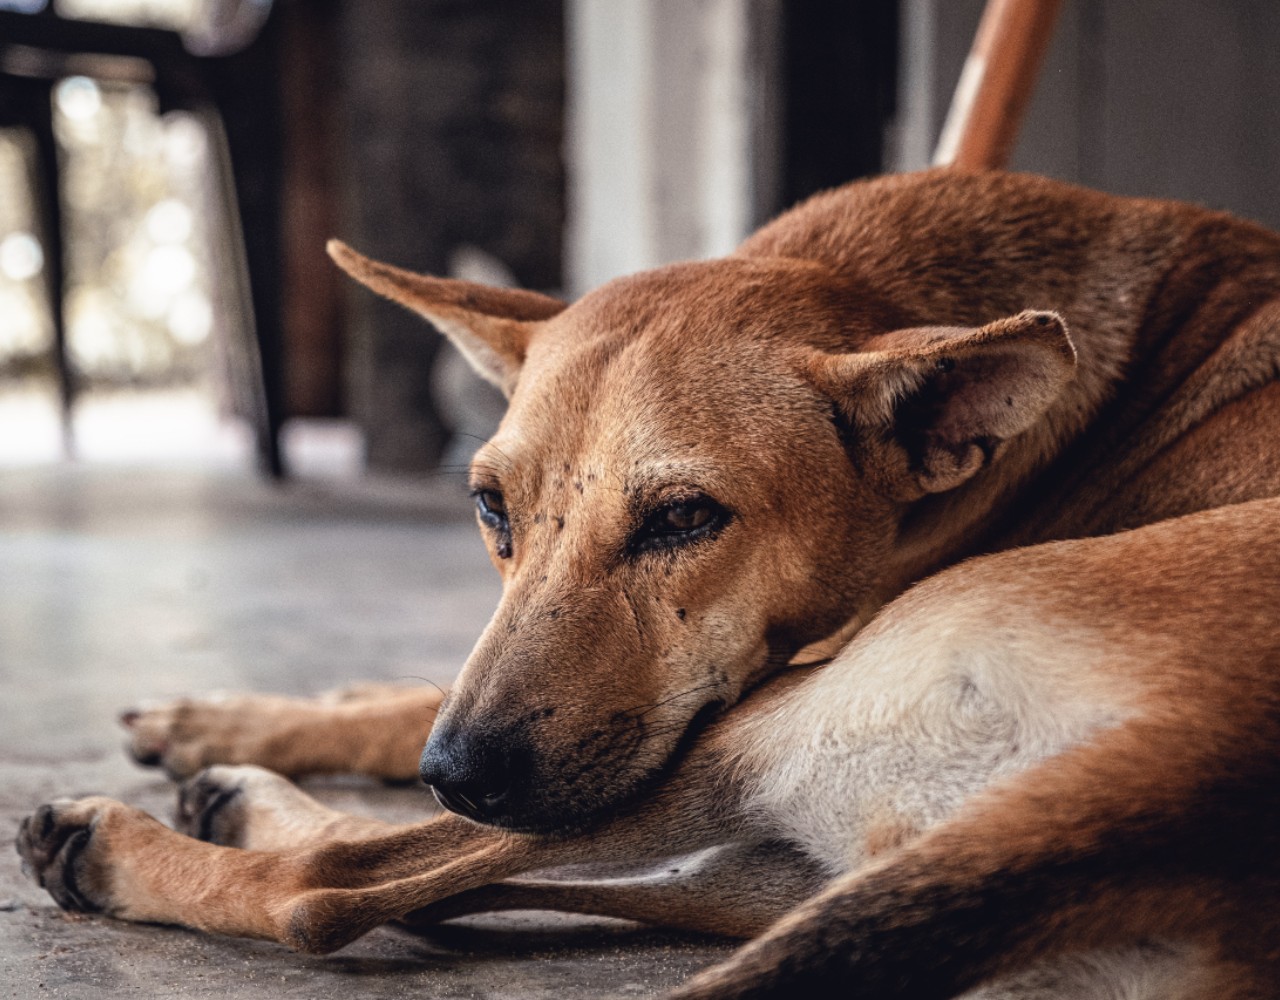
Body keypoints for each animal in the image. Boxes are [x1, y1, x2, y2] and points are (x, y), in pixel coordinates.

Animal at [17, 171, 1280, 998]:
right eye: (490, 506)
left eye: (683, 518)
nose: (455, 769)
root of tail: (1173, 790)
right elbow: (402, 704)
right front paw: (246, 713)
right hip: (777, 861)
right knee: (436, 887)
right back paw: (242, 787)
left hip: (745, 731)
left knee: (332, 886)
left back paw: (126, 844)